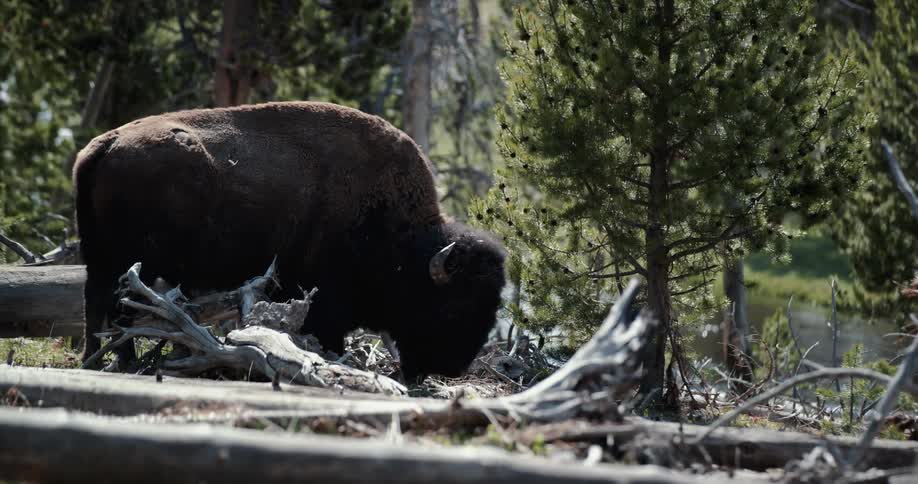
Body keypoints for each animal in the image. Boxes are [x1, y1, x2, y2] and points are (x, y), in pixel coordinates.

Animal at [73, 101, 506, 381]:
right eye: (453, 305)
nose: (453, 367)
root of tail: (107, 142)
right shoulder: (326, 300)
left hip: (103, 257)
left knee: (99, 301)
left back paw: (97, 359)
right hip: (130, 261)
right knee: (117, 305)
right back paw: (119, 362)